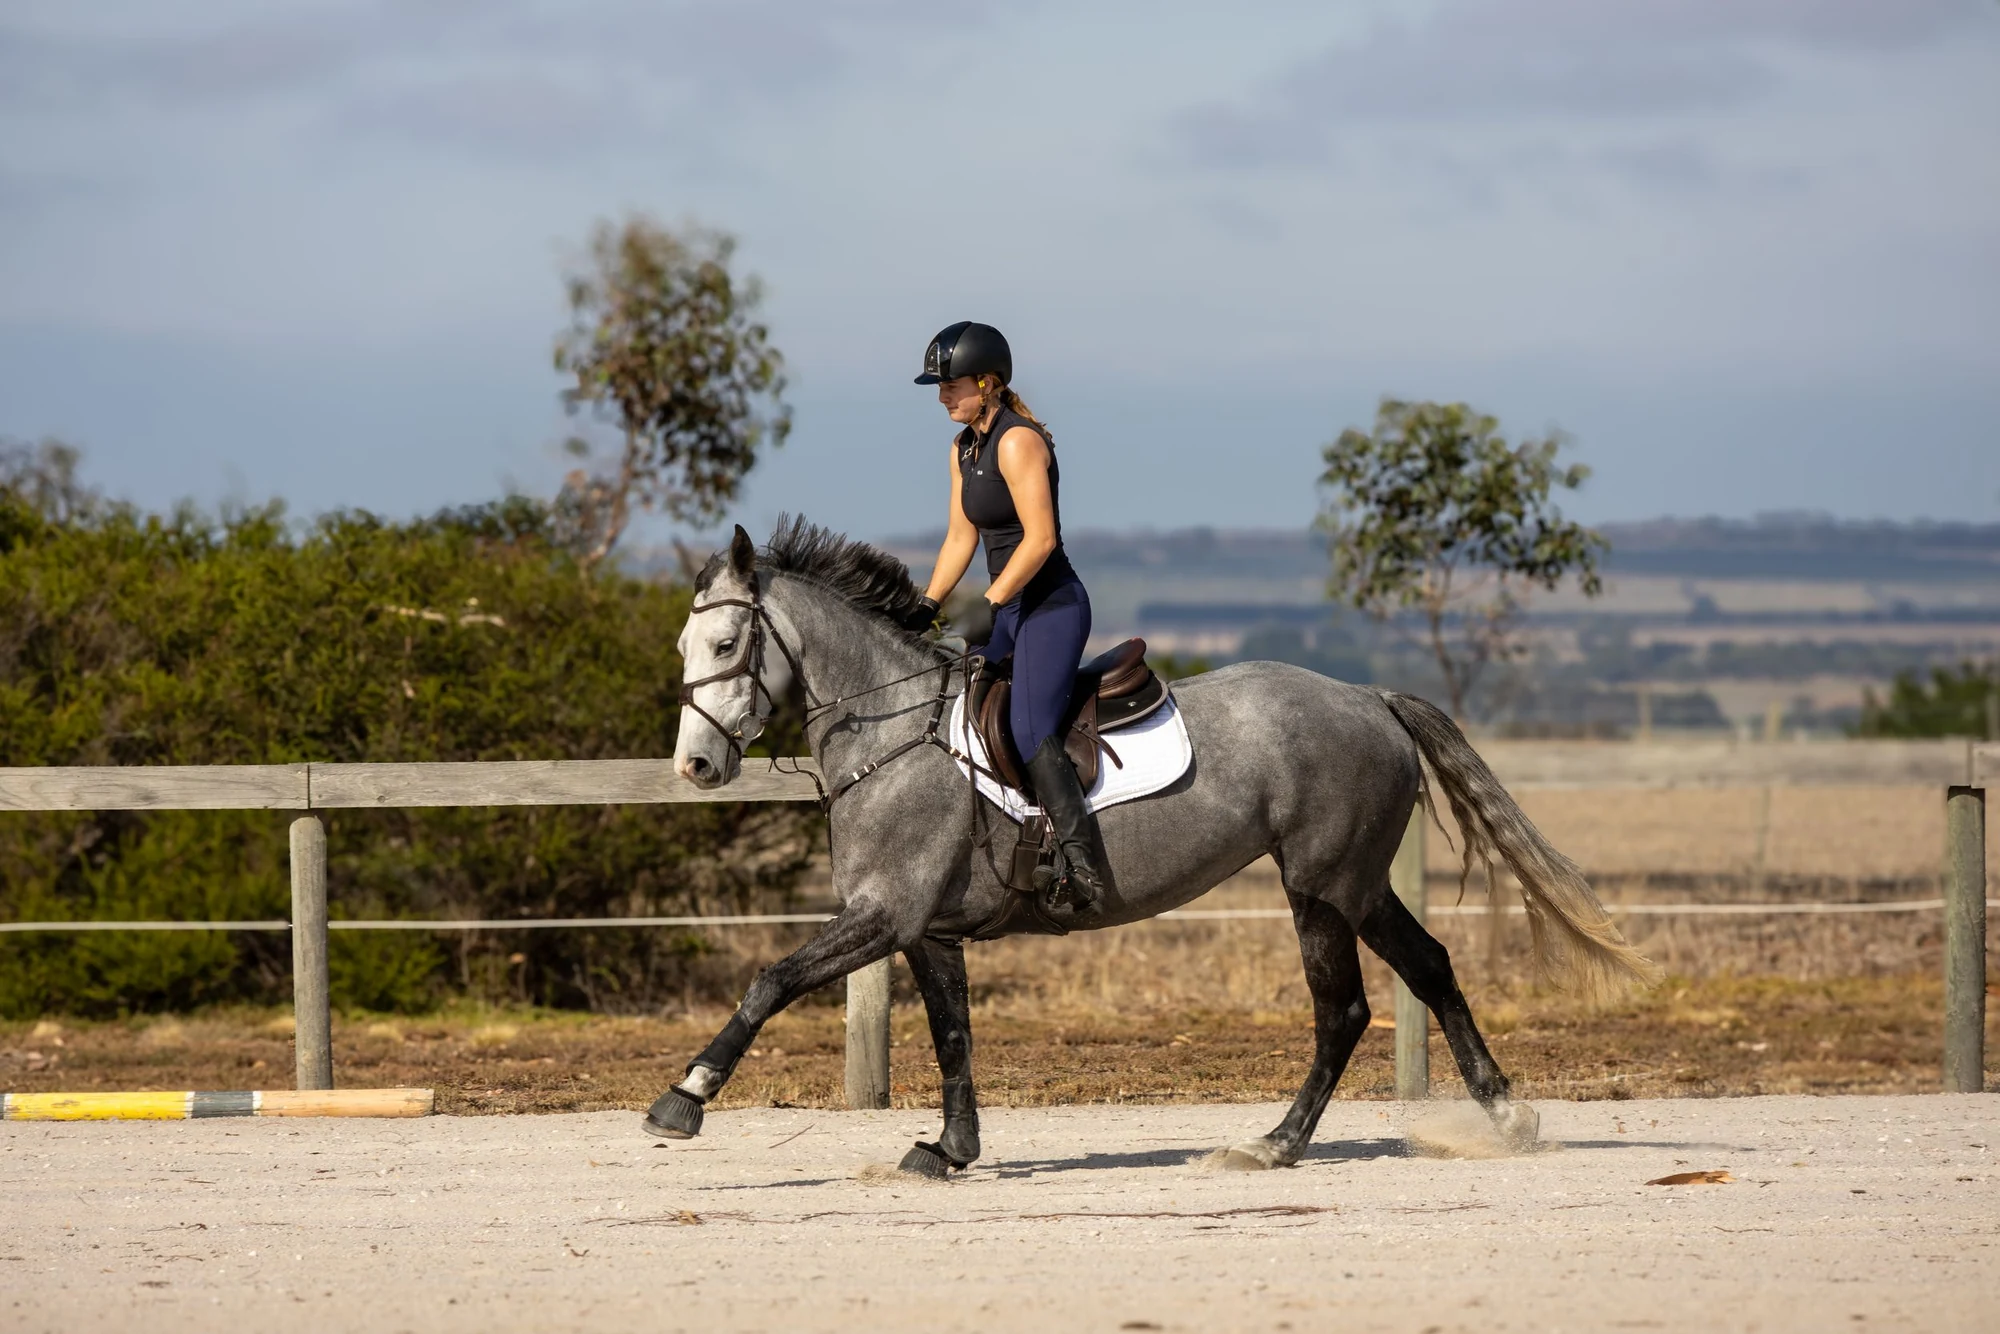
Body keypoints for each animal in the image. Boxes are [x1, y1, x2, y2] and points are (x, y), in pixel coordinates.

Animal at [644, 518, 1658, 1174]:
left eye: (727, 643)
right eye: (686, 646)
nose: (695, 765)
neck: (894, 730)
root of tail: (1367, 697)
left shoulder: (883, 916)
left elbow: (770, 981)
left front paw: (682, 1101)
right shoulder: (926, 929)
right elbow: (952, 1035)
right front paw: (949, 1149)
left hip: (1319, 887)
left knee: (1344, 1011)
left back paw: (1274, 1146)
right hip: (1357, 882)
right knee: (1432, 967)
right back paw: (1507, 1115)